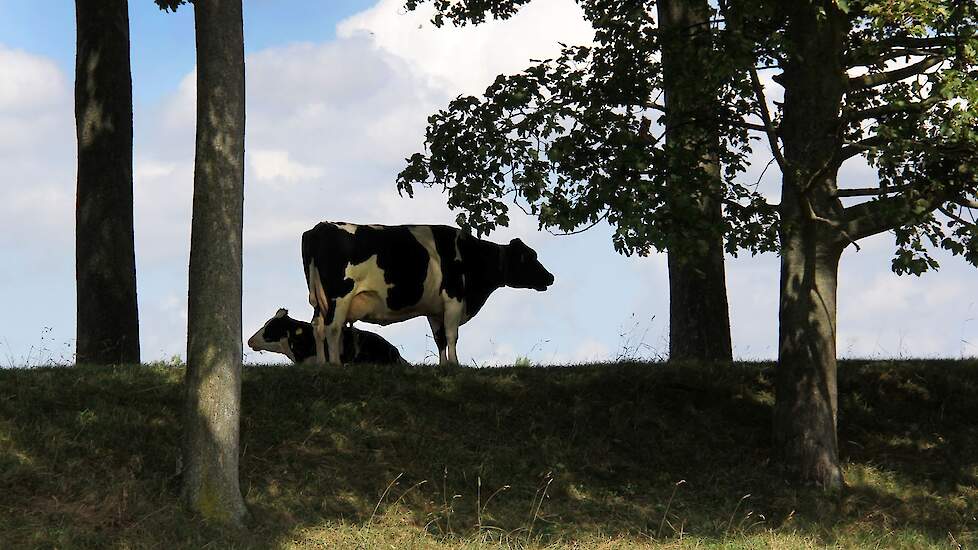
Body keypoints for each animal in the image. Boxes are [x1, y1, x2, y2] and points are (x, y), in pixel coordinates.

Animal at [302, 222, 552, 368]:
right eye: (531, 257)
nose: (550, 277)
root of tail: (320, 227)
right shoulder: (454, 298)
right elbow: (452, 335)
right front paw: (455, 365)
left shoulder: (434, 309)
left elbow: (439, 338)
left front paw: (443, 366)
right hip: (339, 297)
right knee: (333, 328)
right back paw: (335, 364)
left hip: (318, 300)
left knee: (317, 327)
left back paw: (322, 364)